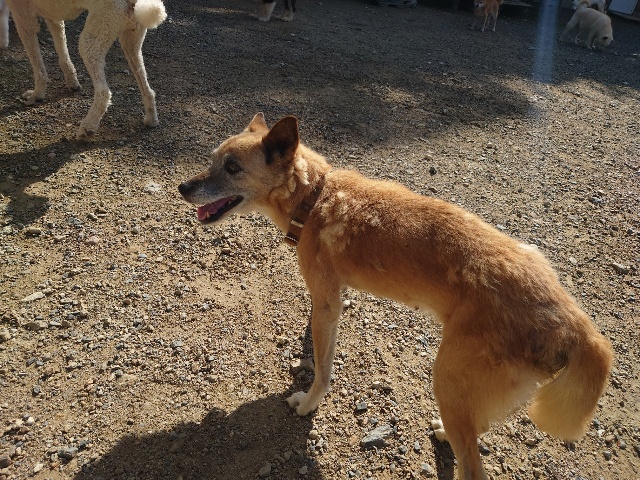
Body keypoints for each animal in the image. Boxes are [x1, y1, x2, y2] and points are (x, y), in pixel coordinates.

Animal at [5, 0, 166, 139]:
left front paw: (37, 94)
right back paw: (151, 120)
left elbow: (38, 66)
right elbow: (62, 51)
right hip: (131, 44)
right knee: (147, 89)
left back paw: (87, 127)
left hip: (92, 41)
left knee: (103, 93)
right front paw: (72, 82)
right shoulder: (53, 17)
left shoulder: (23, 17)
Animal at [179, 114, 613, 480]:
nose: (183, 187)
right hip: (466, 389)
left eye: (232, 168)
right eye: (212, 159)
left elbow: (323, 370)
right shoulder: (332, 300)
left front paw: (307, 405)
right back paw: (444, 433)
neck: (316, 198)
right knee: (476, 427)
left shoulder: (327, 302)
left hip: (447, 377)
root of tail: (576, 325)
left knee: (473, 465)